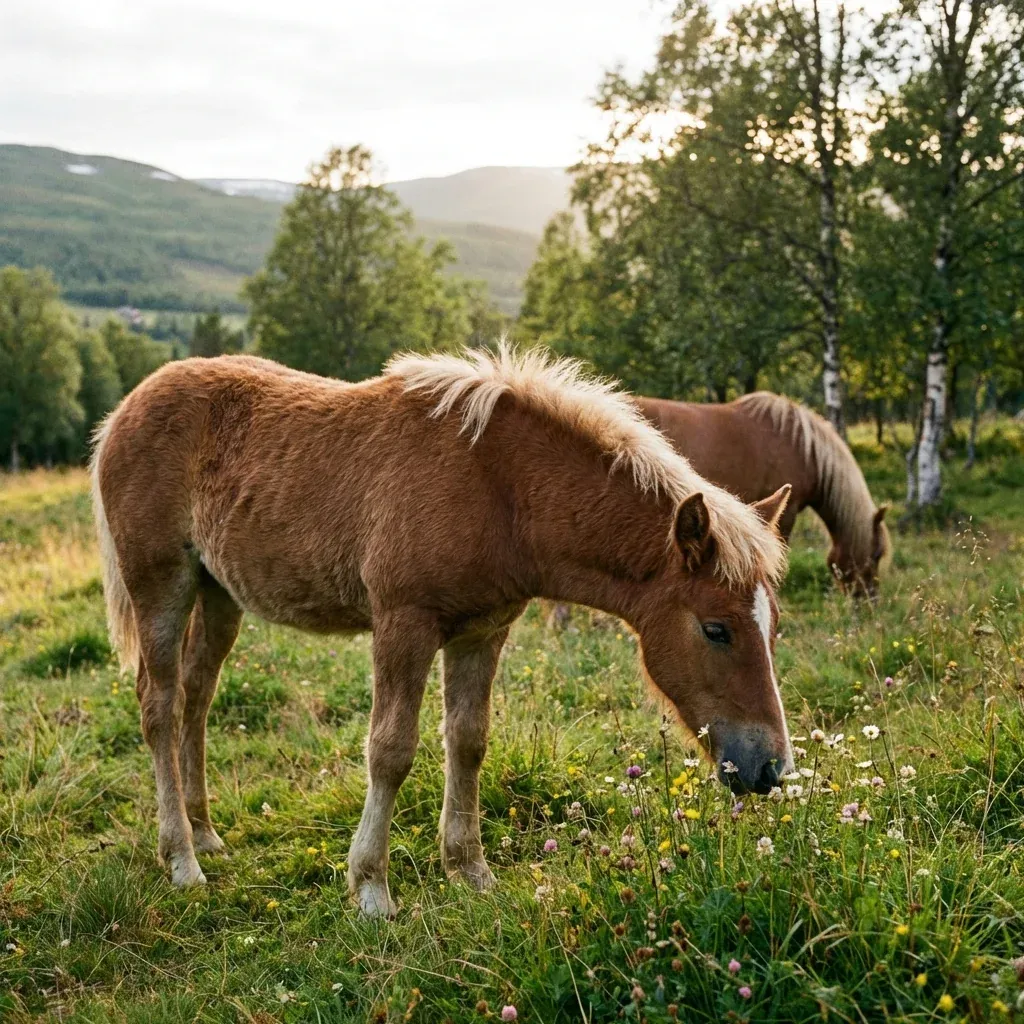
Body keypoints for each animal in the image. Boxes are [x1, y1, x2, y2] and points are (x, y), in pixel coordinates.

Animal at [91, 347, 793, 918]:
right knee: (159, 706)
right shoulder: (404, 623)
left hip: (218, 595)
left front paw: (469, 871)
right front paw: (371, 888)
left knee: (196, 699)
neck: (498, 486)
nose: (770, 768)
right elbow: (390, 750)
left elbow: (468, 742)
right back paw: (183, 859)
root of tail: (125, 409)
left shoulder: (482, 632)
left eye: (773, 626)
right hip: (161, 585)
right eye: (716, 629)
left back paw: (206, 832)